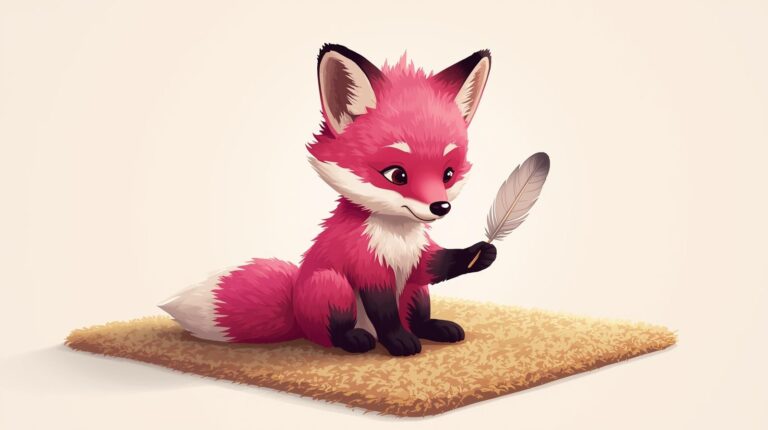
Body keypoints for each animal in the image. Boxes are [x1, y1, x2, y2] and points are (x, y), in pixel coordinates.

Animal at [159, 44, 497, 356]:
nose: (440, 207)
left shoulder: (417, 259)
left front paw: (481, 253)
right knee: (333, 333)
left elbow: (434, 265)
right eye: (397, 174)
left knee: (418, 315)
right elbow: (385, 316)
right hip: (332, 286)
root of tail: (296, 313)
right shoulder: (367, 267)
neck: (396, 238)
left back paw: (434, 327)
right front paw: (399, 342)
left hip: (416, 294)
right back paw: (356, 340)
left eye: (447, 174)